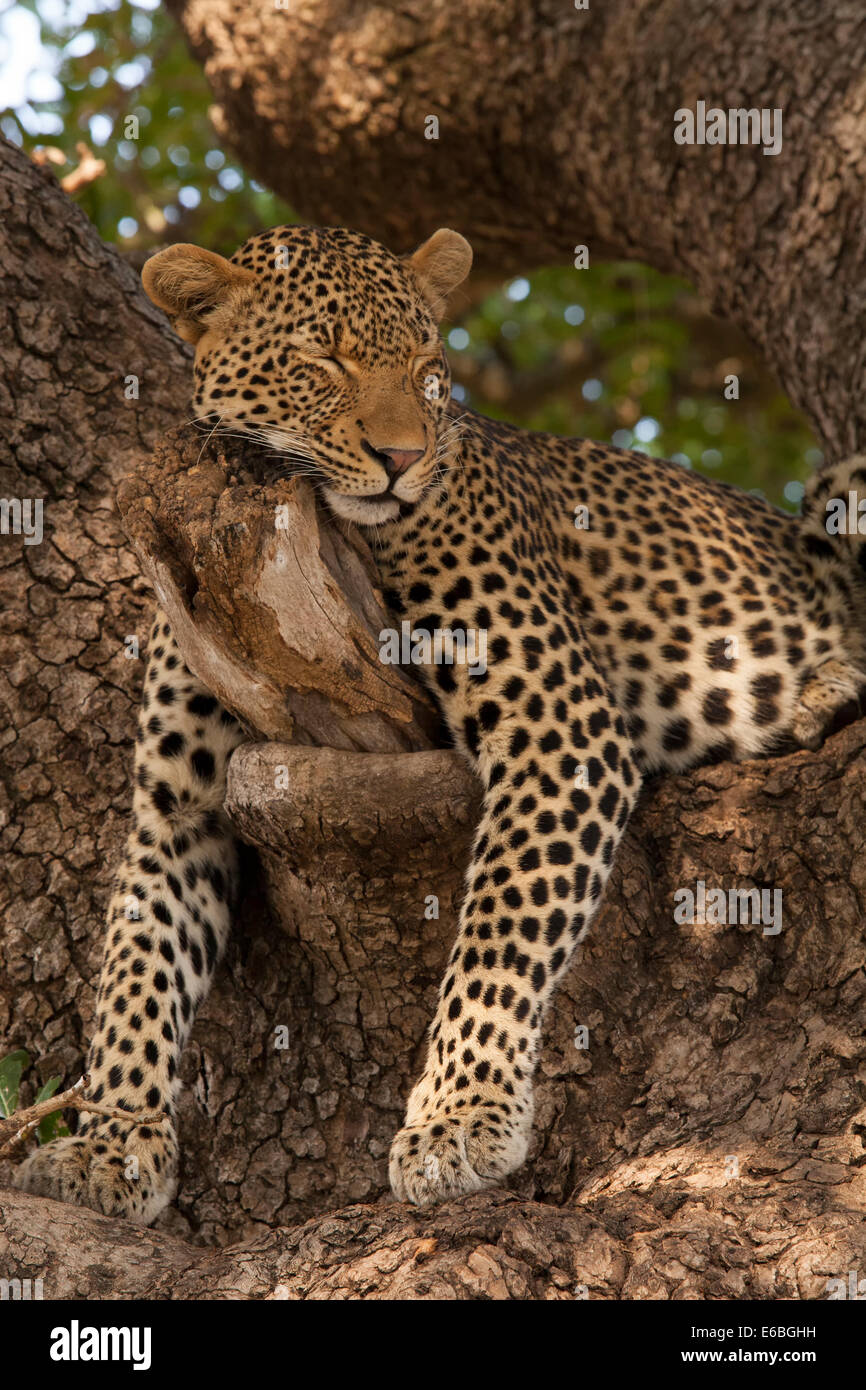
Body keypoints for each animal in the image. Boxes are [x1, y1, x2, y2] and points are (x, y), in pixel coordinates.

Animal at [16, 221, 866, 1221]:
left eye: (428, 369)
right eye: (323, 358)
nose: (402, 458)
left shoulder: (559, 723)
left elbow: (502, 928)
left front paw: (461, 1116)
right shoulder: (172, 799)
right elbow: (137, 965)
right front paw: (110, 1145)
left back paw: (831, 681)